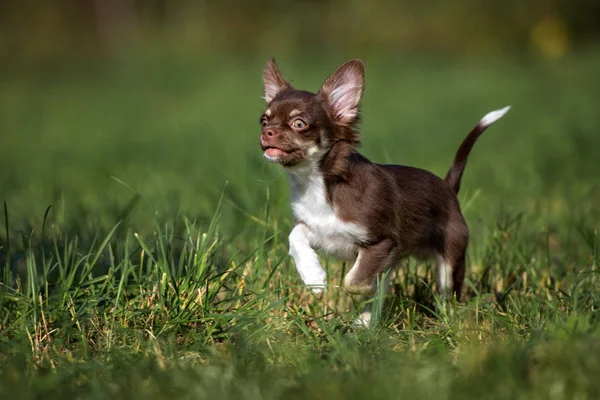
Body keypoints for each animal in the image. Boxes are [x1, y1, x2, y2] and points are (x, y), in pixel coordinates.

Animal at [258, 57, 510, 324]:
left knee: (449, 296)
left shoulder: (382, 243)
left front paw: (360, 289)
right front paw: (313, 277)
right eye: (263, 121)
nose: (267, 132)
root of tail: (448, 186)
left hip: (451, 259)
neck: (317, 184)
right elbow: (295, 236)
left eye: (299, 123)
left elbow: (353, 282)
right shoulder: (319, 230)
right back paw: (365, 323)